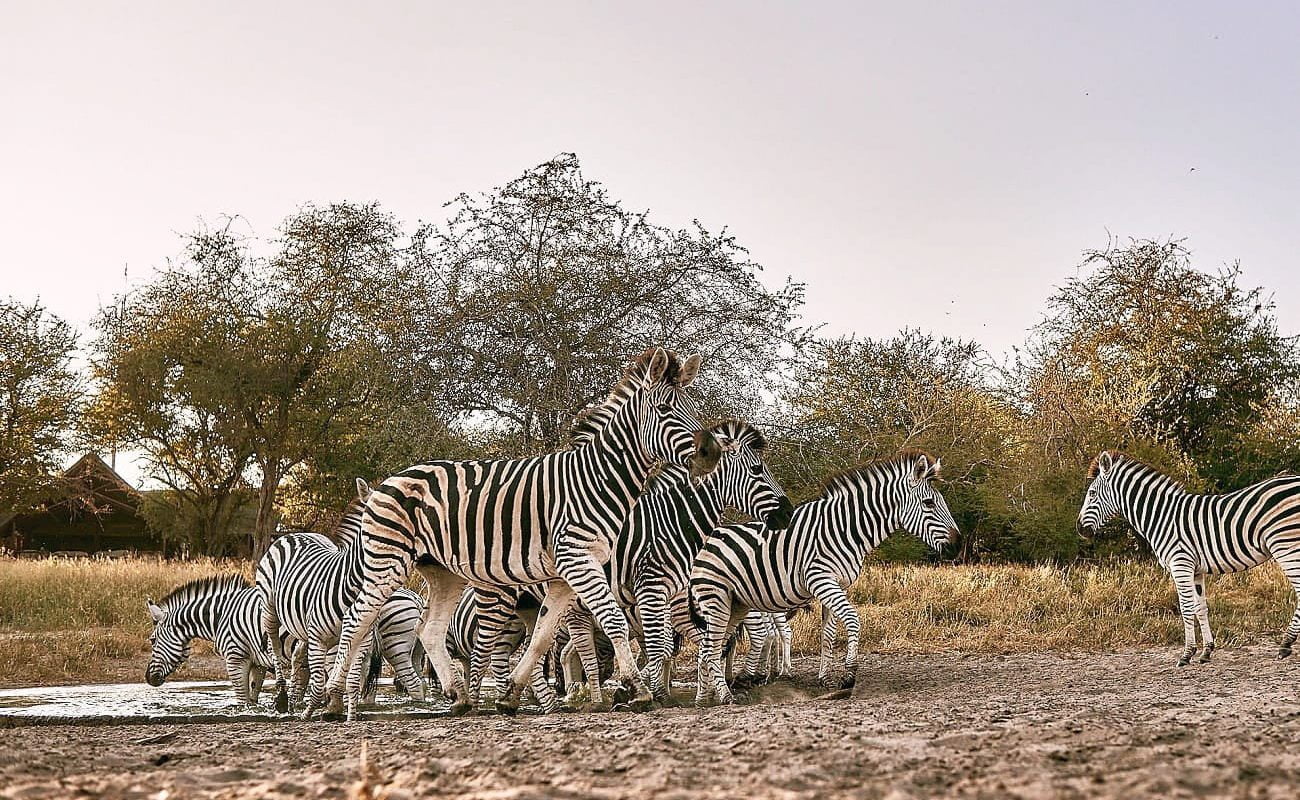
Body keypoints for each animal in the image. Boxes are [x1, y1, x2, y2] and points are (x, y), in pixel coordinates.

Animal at [145, 574, 275, 702]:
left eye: (152, 640)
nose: (148, 678)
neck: (222, 614)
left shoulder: (235, 659)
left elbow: (242, 702)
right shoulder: (258, 663)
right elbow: (253, 700)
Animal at [257, 479, 427, 717]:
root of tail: (295, 535)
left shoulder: (361, 640)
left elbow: (351, 680)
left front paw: (345, 712)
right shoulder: (320, 638)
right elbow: (321, 680)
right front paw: (312, 711)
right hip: (270, 609)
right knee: (274, 646)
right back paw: (283, 698)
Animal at [324, 348, 723, 719]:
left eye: (693, 407)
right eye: (665, 408)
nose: (711, 453)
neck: (597, 478)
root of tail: (388, 480)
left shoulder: (565, 574)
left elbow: (542, 637)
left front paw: (511, 694)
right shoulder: (576, 558)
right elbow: (613, 620)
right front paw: (638, 690)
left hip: (443, 572)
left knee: (429, 630)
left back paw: (459, 698)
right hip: (387, 561)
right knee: (355, 620)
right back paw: (332, 700)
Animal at [689, 451, 957, 705]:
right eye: (929, 503)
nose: (957, 545)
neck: (845, 528)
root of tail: (703, 542)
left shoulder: (837, 584)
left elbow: (828, 634)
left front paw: (826, 679)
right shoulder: (821, 579)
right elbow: (852, 619)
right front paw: (849, 675)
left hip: (736, 604)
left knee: (708, 648)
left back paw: (704, 699)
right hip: (716, 599)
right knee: (711, 648)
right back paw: (726, 696)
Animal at [1076, 450, 1300, 666]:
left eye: (1092, 494)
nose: (1079, 529)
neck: (1161, 516)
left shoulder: (1180, 564)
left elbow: (1186, 608)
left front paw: (1186, 654)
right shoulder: (1196, 570)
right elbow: (1201, 608)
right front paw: (1206, 652)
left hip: (1285, 545)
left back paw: (1286, 644)